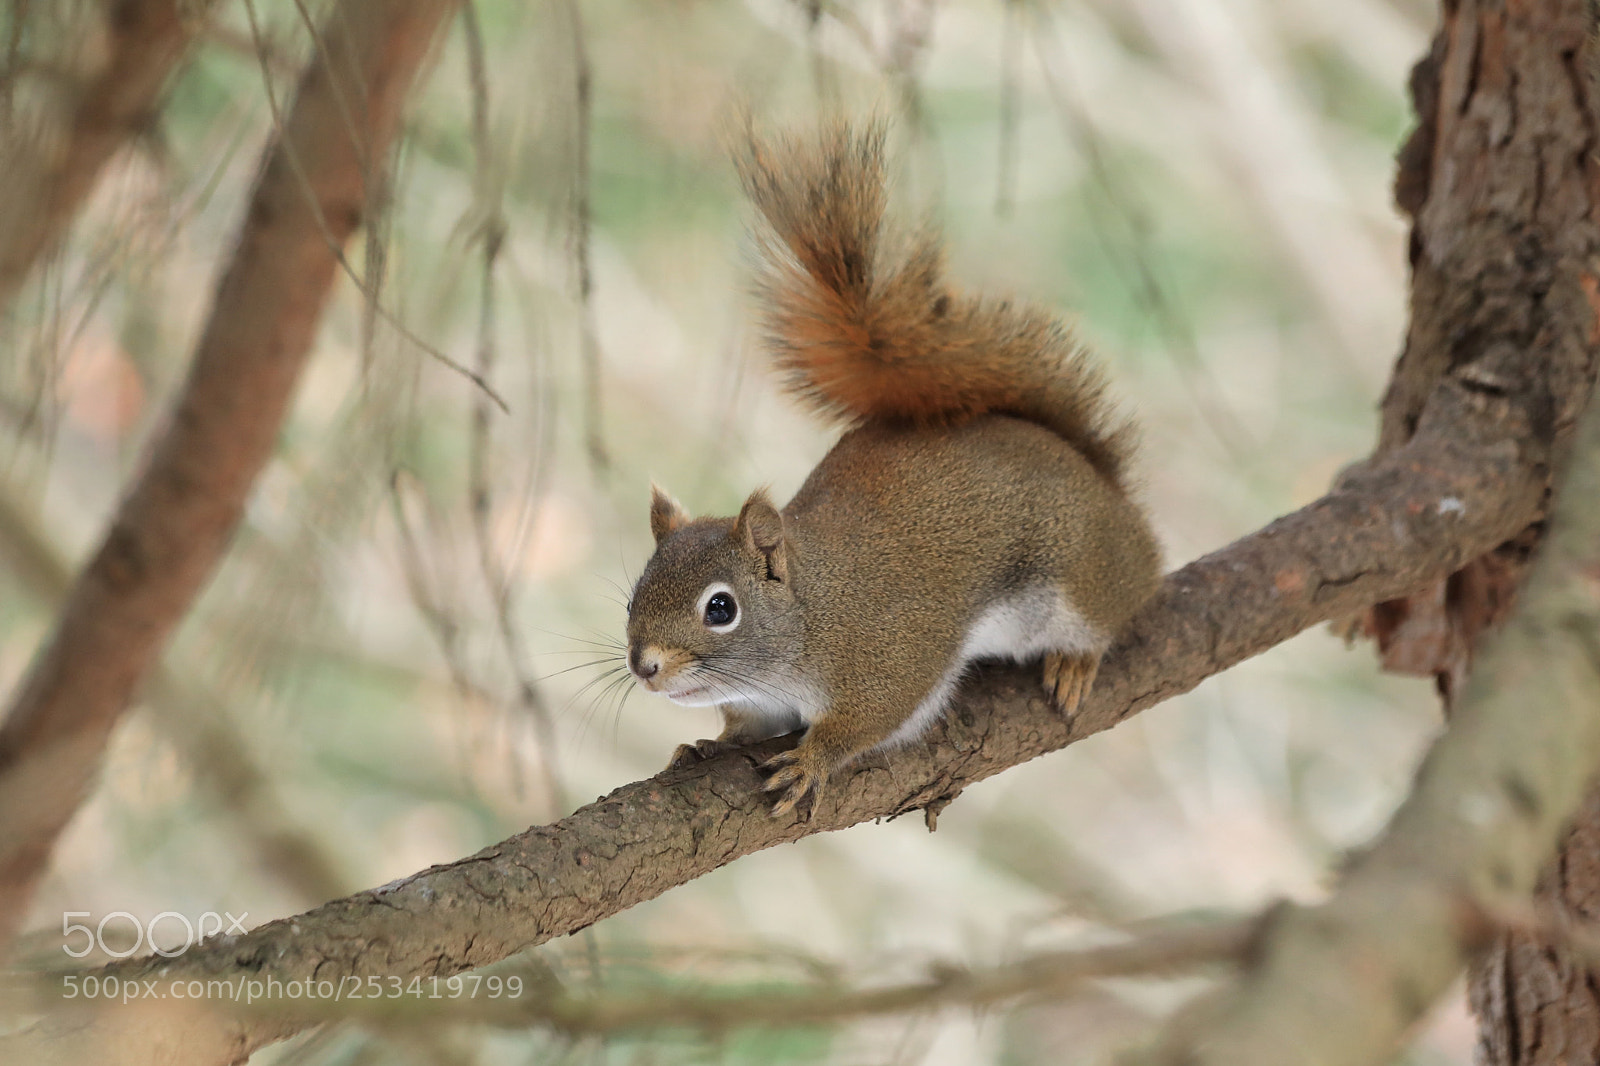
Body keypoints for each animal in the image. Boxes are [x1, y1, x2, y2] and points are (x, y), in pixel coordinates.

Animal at [625, 122, 1161, 818]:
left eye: (721, 608)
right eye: (635, 592)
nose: (643, 666)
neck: (812, 612)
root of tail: (1113, 495)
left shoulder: (889, 661)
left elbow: (868, 722)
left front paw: (811, 761)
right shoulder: (762, 702)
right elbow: (742, 727)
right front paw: (707, 744)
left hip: (1080, 574)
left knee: (1110, 612)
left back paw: (1076, 661)